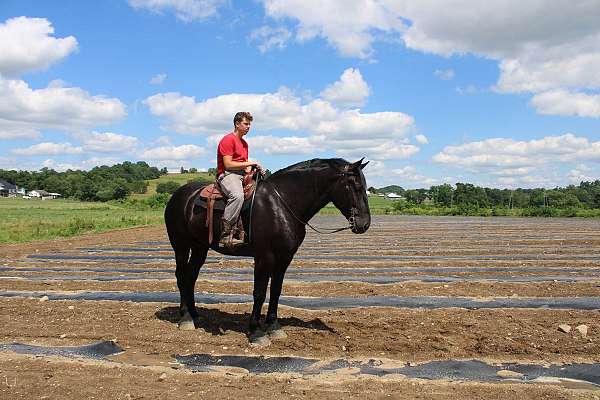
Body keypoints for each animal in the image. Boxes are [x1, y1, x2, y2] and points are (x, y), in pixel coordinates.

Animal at [164, 158, 370, 346]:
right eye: (355, 186)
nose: (365, 224)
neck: (281, 203)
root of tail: (178, 195)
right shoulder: (264, 257)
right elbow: (260, 292)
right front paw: (256, 332)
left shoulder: (285, 257)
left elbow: (276, 290)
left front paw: (274, 326)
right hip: (181, 245)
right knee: (182, 276)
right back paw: (185, 318)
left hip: (200, 247)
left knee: (191, 277)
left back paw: (195, 315)